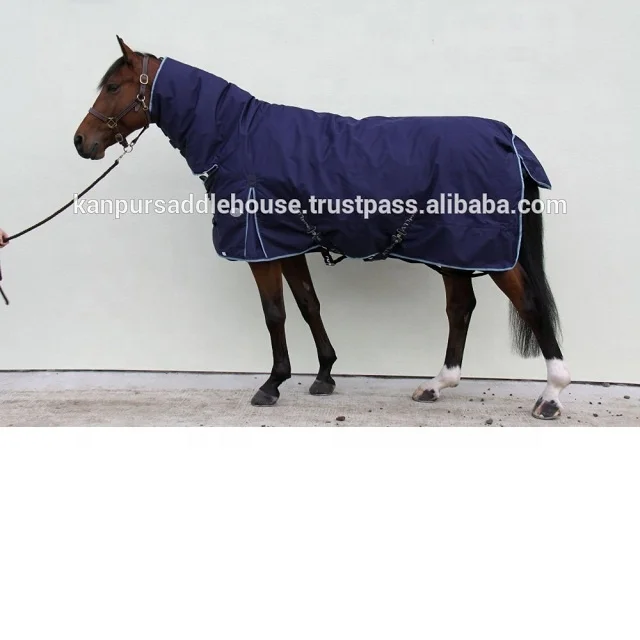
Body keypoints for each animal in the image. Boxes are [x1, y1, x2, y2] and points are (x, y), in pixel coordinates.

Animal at [73, 36, 571, 420]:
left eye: (113, 86)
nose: (82, 142)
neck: (237, 138)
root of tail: (510, 140)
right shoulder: (286, 244)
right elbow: (309, 305)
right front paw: (325, 375)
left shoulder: (260, 249)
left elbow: (275, 312)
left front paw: (271, 384)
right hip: (453, 250)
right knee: (461, 308)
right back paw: (435, 385)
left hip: (484, 249)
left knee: (528, 304)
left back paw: (551, 395)